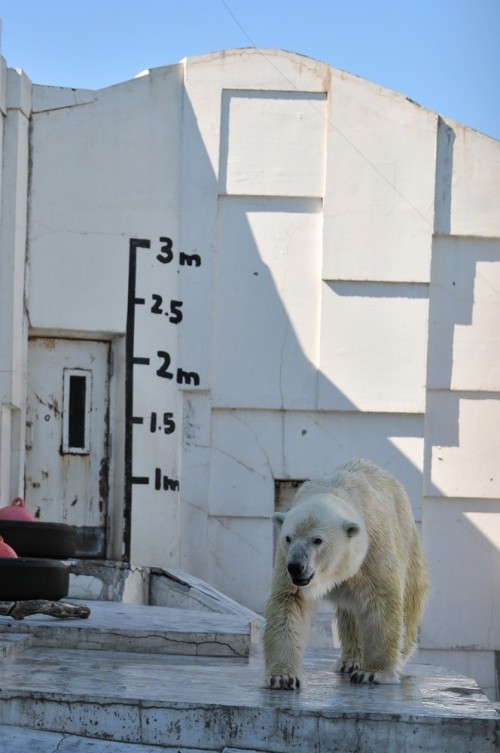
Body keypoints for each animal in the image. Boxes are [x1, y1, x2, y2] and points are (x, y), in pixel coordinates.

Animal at [264, 458, 428, 688]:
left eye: (317, 540)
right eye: (289, 537)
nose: (296, 566)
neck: (334, 489)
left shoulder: (373, 549)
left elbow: (381, 601)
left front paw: (373, 673)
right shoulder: (284, 562)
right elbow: (289, 601)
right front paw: (282, 677)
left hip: (409, 545)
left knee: (410, 601)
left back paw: (400, 654)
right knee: (350, 612)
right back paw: (350, 660)